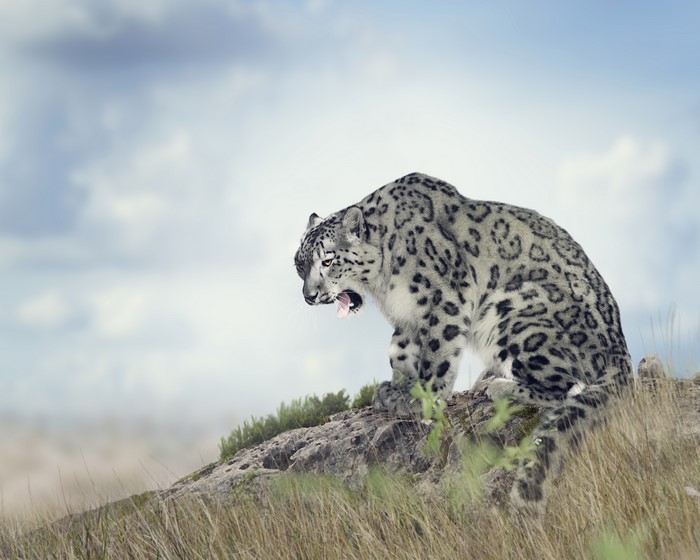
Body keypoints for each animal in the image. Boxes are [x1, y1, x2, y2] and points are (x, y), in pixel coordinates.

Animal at [294, 172, 633, 509]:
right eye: (299, 264)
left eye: (328, 261)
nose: (309, 296)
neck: (381, 283)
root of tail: (620, 351)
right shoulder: (408, 318)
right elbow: (398, 351)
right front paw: (397, 389)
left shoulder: (443, 299)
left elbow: (436, 356)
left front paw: (422, 399)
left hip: (512, 313)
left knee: (567, 385)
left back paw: (497, 386)